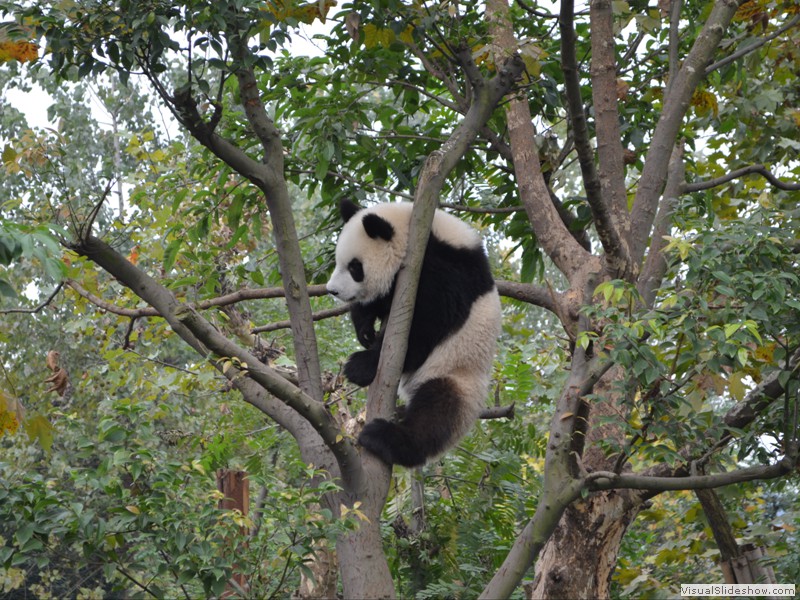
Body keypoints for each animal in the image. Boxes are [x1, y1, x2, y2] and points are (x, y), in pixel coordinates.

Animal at [324, 202, 500, 468]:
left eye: (355, 267)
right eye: (337, 261)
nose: (332, 290)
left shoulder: (447, 271)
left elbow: (427, 324)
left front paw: (362, 365)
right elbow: (378, 303)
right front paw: (365, 331)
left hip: (457, 371)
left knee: (437, 411)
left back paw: (387, 439)